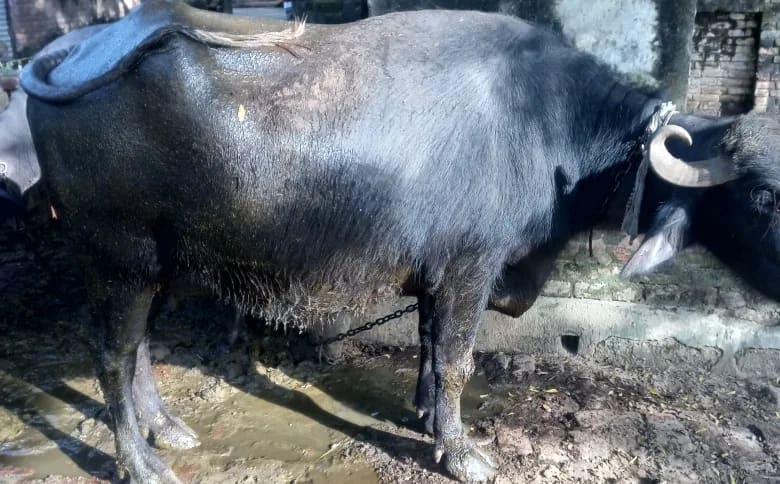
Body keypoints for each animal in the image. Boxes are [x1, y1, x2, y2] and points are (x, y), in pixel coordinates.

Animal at [19, 1, 780, 482]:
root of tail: (69, 49)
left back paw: (167, 427)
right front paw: (462, 453)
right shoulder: (472, 266)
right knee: (111, 356)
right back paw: (143, 463)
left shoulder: (438, 273)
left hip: (159, 266)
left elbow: (427, 345)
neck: (547, 123)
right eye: (764, 195)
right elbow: (458, 360)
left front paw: (425, 417)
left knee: (140, 346)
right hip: (116, 261)